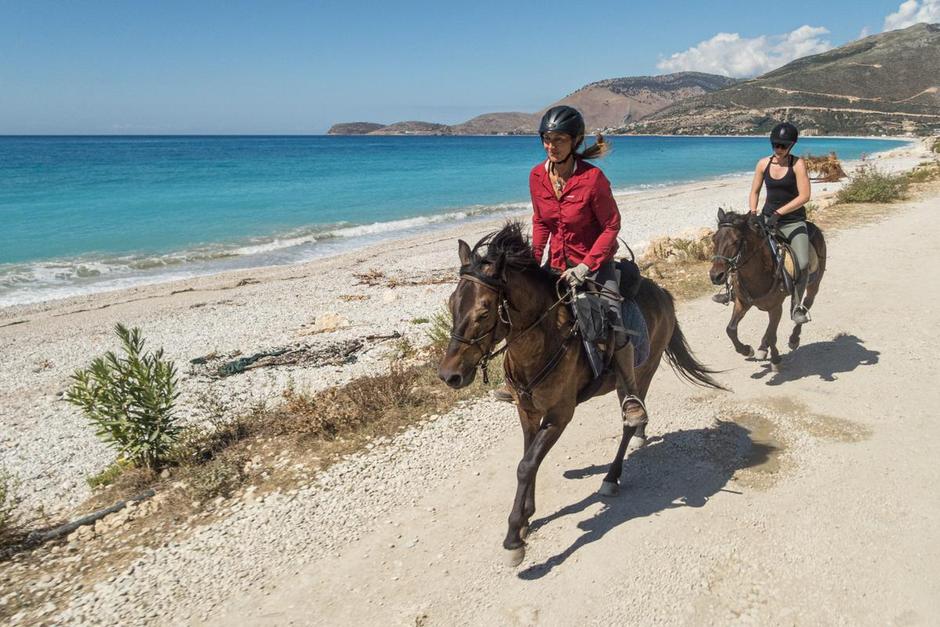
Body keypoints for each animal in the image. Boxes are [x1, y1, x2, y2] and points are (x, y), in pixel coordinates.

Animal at [436, 223, 724, 568]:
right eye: (452, 303)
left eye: (484, 311)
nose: (449, 375)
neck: (541, 340)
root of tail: (663, 294)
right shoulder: (527, 411)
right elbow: (528, 457)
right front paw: (527, 516)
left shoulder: (560, 415)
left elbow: (526, 464)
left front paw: (514, 537)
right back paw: (639, 438)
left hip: (643, 371)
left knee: (629, 420)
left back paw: (612, 476)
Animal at [708, 211, 828, 368]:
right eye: (714, 239)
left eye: (736, 240)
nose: (716, 276)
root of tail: (813, 226)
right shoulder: (742, 303)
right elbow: (731, 330)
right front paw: (747, 350)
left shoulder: (776, 307)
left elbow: (772, 336)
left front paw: (775, 359)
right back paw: (762, 348)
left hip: (814, 284)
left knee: (805, 305)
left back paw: (794, 338)